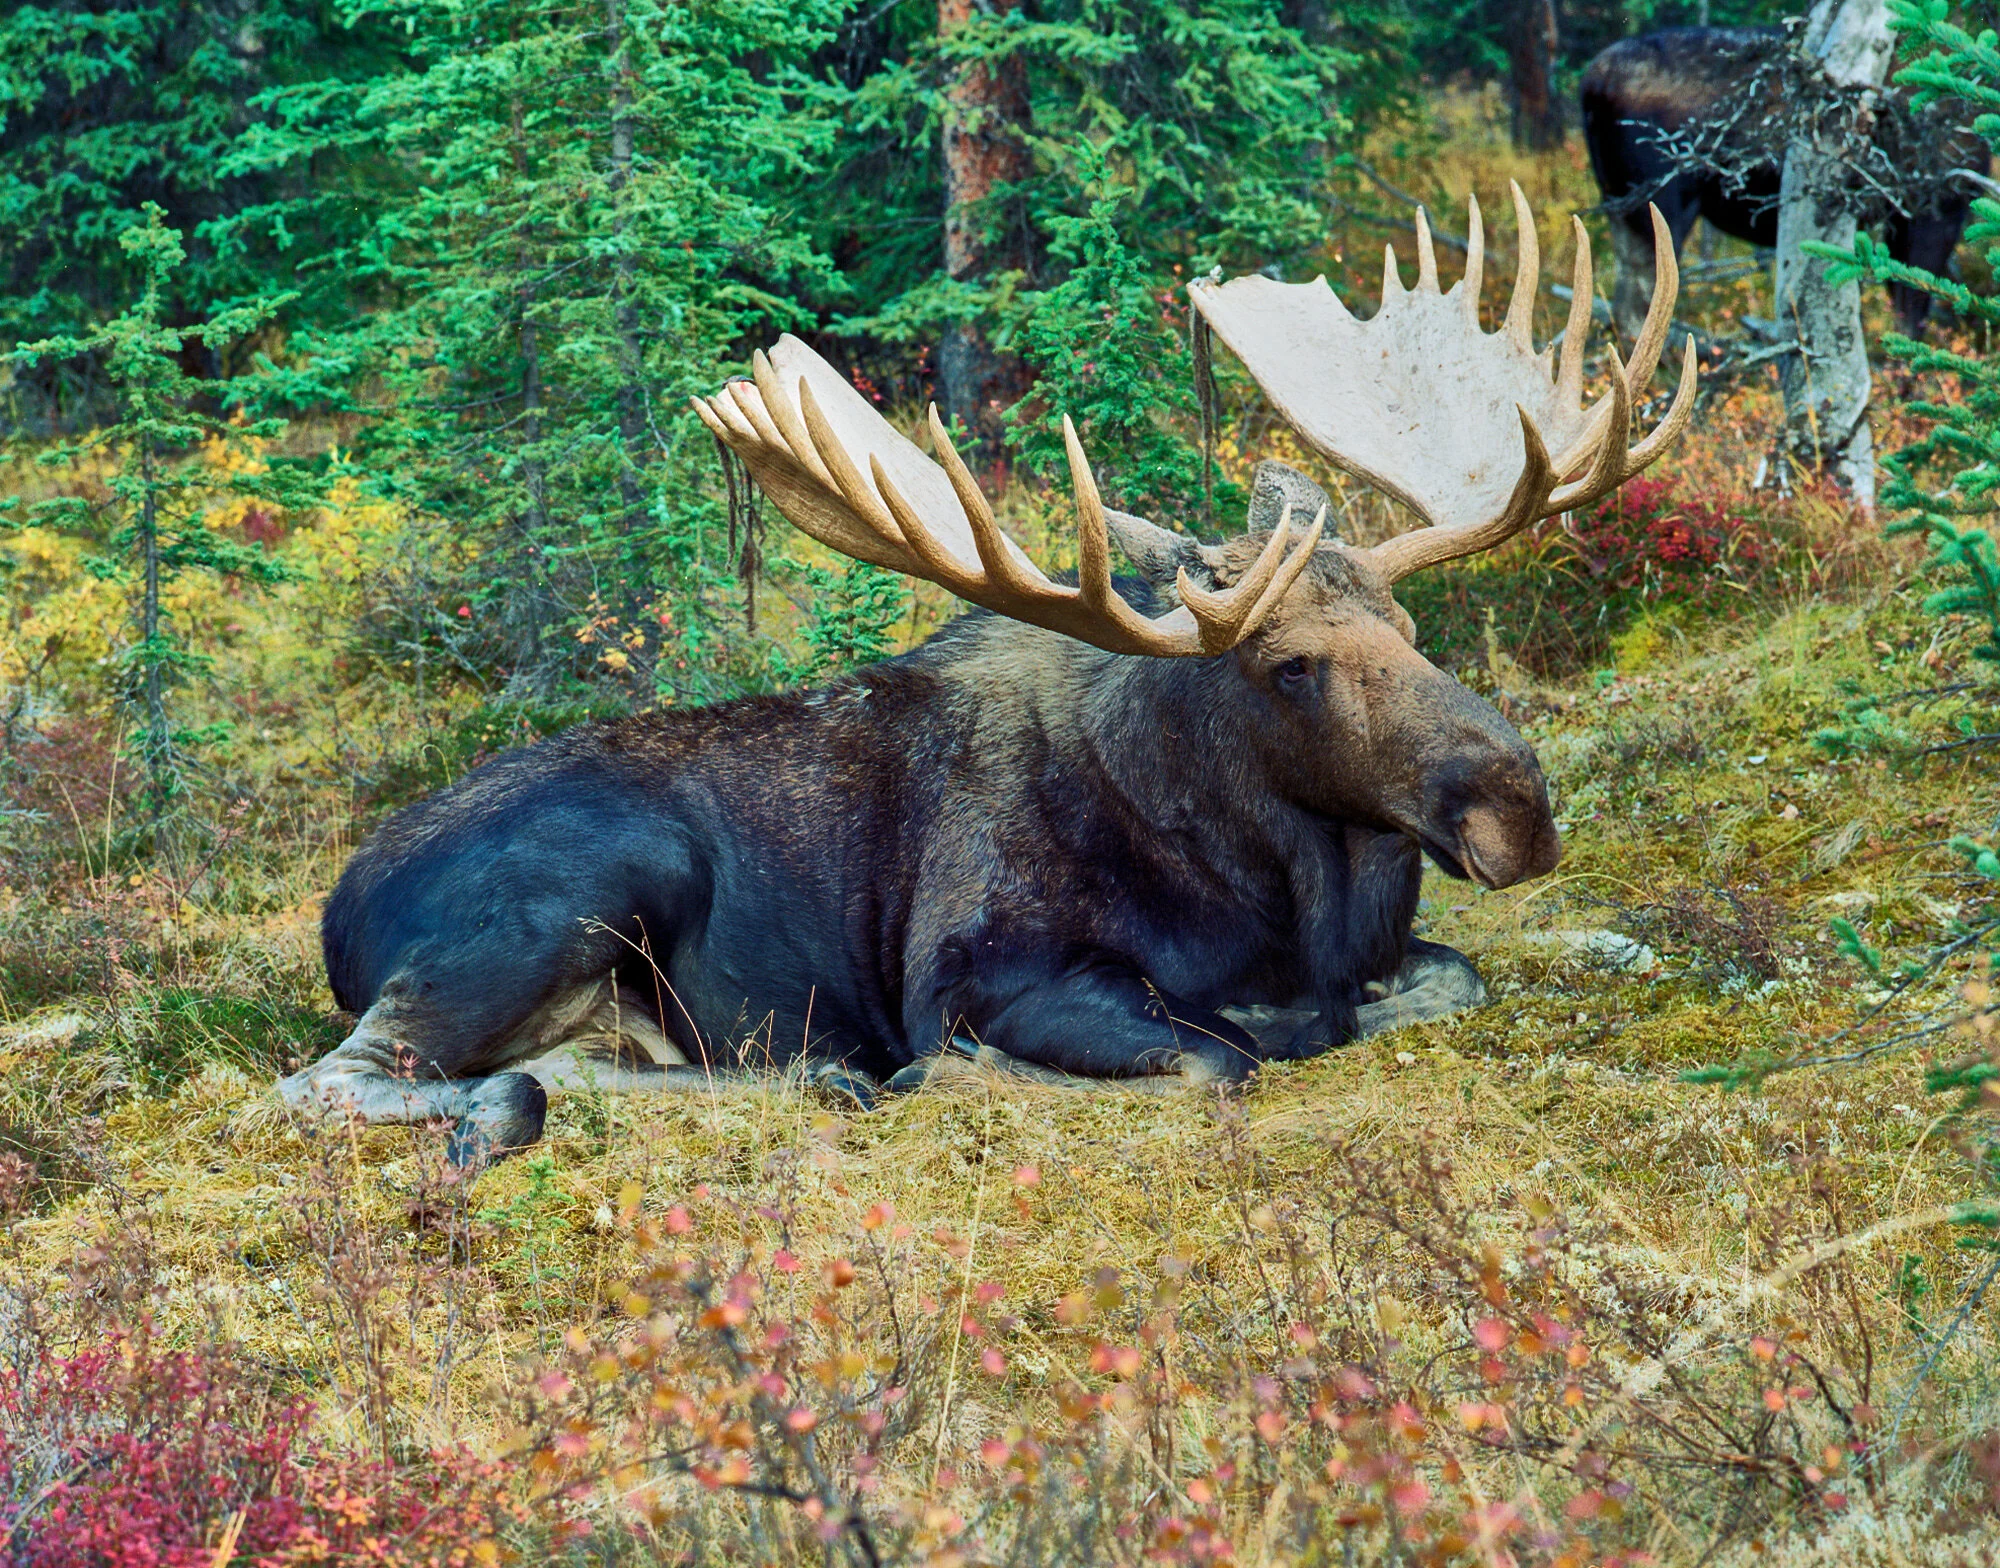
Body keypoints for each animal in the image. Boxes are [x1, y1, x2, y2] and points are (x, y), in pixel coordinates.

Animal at [279, 187, 1696, 1165]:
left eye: (1407, 621)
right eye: (1289, 663)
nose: (1514, 802)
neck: (1274, 896)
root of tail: (339, 908)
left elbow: (1452, 977)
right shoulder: (983, 975)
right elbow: (1219, 1057)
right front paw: (955, 1076)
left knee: (574, 1068)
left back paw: (804, 1079)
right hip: (572, 896)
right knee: (327, 1078)